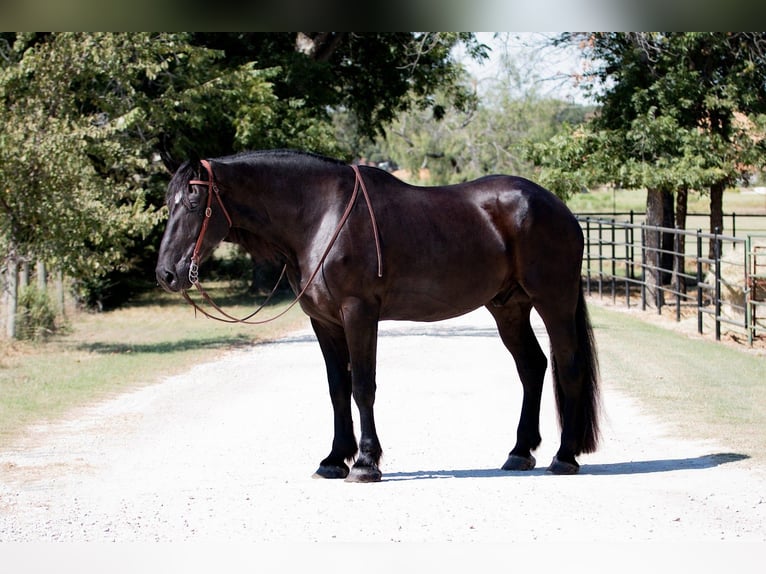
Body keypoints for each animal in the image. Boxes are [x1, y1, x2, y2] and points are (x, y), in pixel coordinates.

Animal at [154, 148, 600, 482]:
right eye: (168, 203)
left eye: (194, 201)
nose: (167, 273)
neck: (322, 216)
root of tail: (559, 209)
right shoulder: (325, 322)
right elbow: (337, 388)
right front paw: (334, 459)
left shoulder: (359, 314)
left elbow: (362, 387)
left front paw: (366, 462)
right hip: (508, 307)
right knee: (533, 366)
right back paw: (520, 452)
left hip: (554, 301)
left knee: (569, 366)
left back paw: (564, 457)